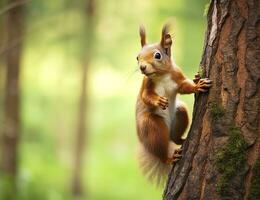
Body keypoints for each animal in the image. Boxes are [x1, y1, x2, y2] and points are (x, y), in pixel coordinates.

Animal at [135, 24, 212, 184]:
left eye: (158, 55)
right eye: (137, 57)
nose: (142, 67)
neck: (161, 75)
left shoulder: (177, 77)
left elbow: (184, 87)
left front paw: (197, 84)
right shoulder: (146, 84)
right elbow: (145, 97)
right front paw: (158, 100)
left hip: (180, 114)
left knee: (174, 136)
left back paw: (182, 139)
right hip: (151, 127)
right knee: (161, 150)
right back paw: (169, 158)